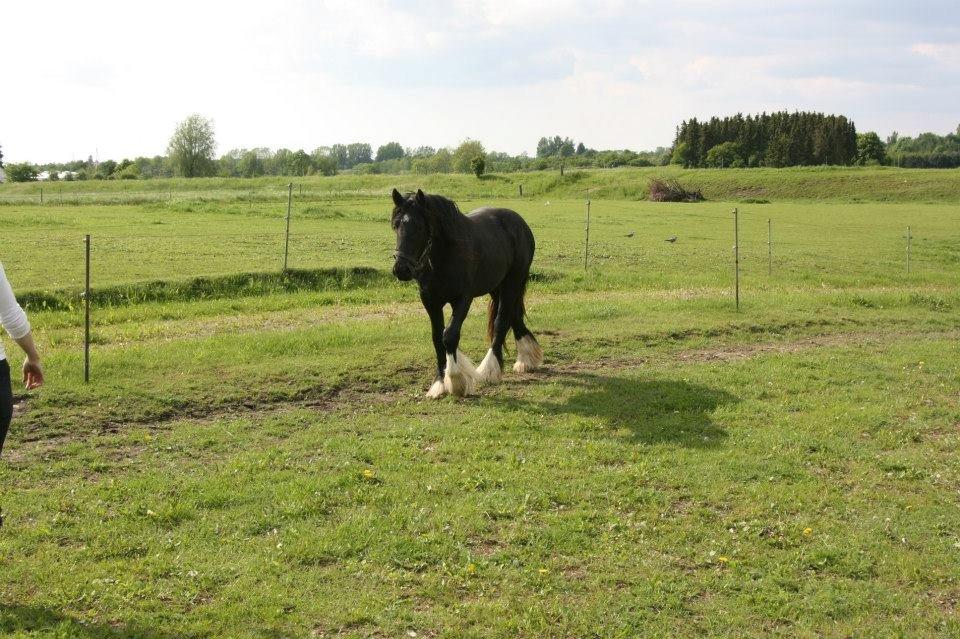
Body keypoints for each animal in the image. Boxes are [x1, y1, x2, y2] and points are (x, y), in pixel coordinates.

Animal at [390, 190, 540, 398]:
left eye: (419, 226)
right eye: (396, 225)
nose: (401, 269)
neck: (444, 256)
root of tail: (519, 222)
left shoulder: (462, 299)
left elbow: (449, 336)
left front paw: (456, 380)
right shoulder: (430, 301)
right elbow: (437, 338)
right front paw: (439, 382)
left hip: (513, 281)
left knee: (502, 321)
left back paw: (490, 370)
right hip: (496, 286)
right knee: (512, 316)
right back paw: (526, 358)